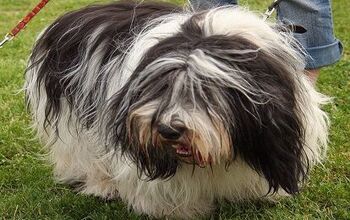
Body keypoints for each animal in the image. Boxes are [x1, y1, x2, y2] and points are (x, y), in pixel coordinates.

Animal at [23, 0, 328, 218]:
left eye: (205, 92)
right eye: (160, 88)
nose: (168, 130)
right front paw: (179, 210)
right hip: (75, 114)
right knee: (83, 151)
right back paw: (101, 185)